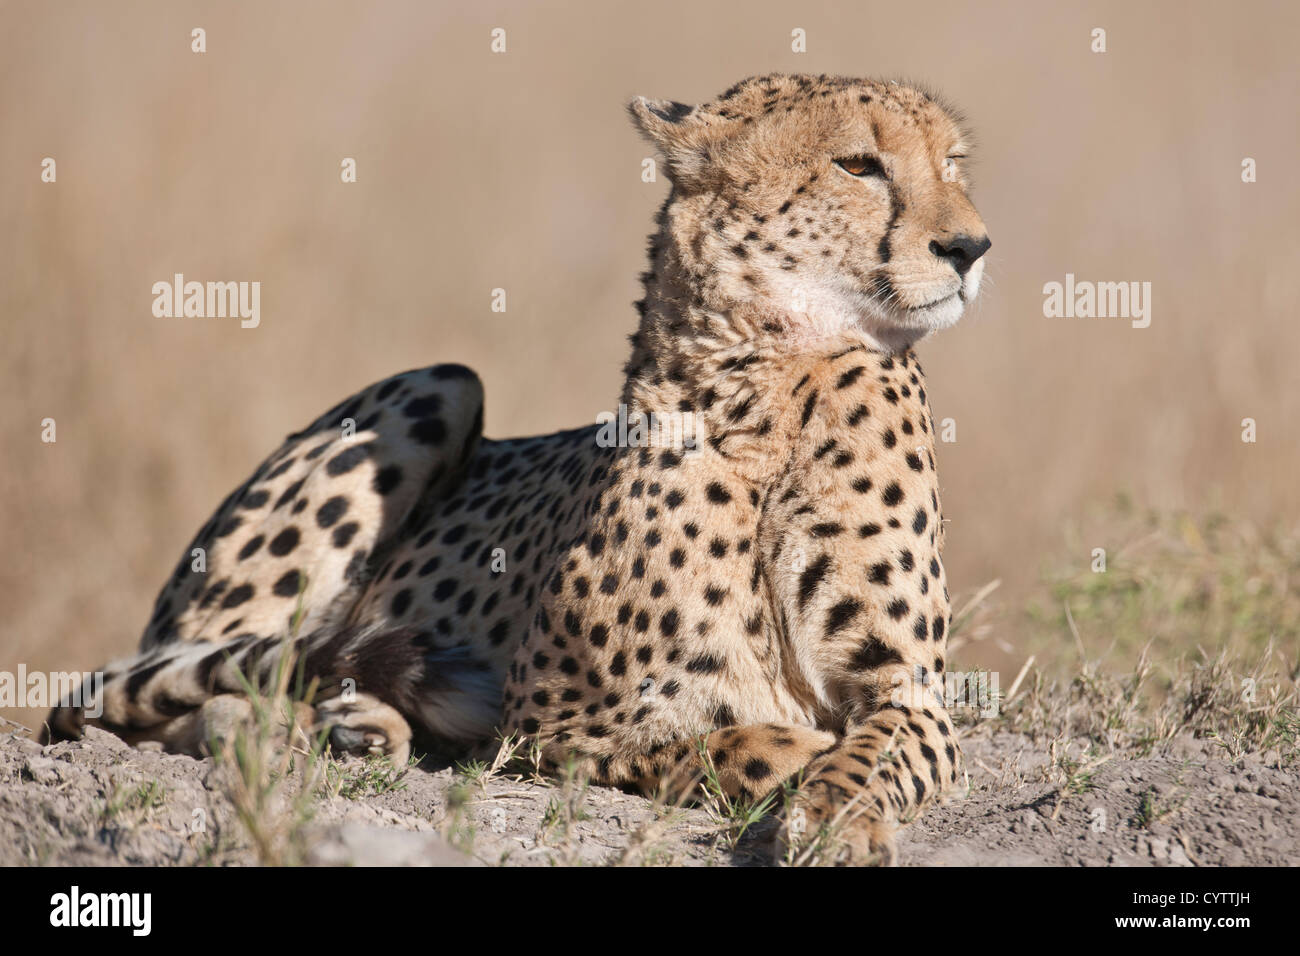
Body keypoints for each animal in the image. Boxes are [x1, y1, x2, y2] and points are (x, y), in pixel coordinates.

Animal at [45, 72, 987, 868]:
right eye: (858, 165)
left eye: (951, 163)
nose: (972, 247)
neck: (776, 387)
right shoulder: (553, 725)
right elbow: (730, 743)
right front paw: (801, 776)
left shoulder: (908, 692)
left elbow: (871, 753)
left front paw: (839, 819)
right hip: (432, 385)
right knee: (192, 691)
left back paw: (361, 721)